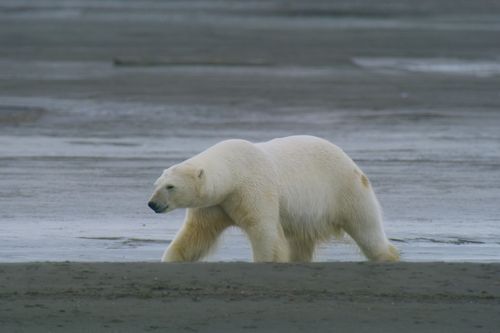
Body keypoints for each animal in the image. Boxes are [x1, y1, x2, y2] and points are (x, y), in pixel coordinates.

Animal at [147, 135, 398, 262]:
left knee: (367, 229)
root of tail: (350, 160)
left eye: (170, 186)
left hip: (344, 189)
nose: (152, 204)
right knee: (300, 242)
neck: (233, 169)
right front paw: (171, 258)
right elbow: (196, 234)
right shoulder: (216, 203)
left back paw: (387, 256)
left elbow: (263, 229)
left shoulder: (253, 187)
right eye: (156, 184)